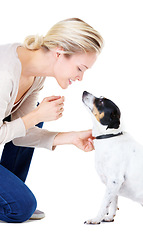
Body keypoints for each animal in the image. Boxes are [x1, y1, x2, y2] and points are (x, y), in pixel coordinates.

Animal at [82, 91, 143, 224]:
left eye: (101, 102)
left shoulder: (114, 180)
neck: (109, 137)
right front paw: (109, 217)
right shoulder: (113, 184)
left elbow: (104, 203)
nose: (84, 91)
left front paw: (96, 219)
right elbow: (113, 201)